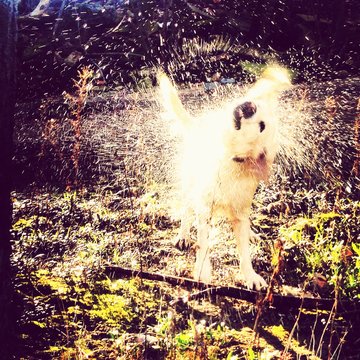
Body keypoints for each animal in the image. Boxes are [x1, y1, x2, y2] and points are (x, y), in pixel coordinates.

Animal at [159, 67, 292, 290]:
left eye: (262, 126)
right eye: (257, 106)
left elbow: (244, 252)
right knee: (186, 210)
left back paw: (251, 234)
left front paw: (250, 276)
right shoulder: (205, 208)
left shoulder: (239, 211)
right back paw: (183, 235)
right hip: (189, 182)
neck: (229, 161)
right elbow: (203, 243)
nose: (249, 105)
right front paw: (202, 272)